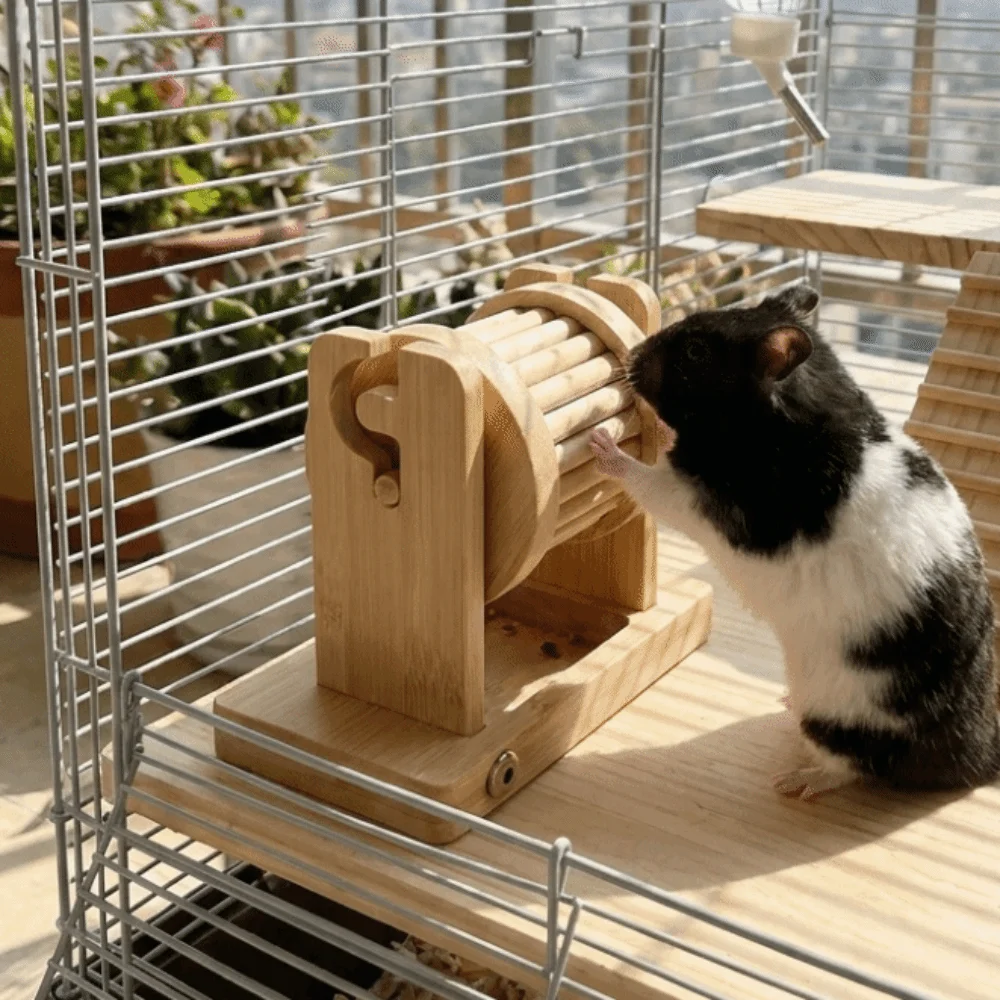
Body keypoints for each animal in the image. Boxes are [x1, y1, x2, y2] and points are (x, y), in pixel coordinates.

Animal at [590, 284, 1000, 800]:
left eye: (696, 352)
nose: (632, 355)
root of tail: (979, 758)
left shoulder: (703, 501)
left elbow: (645, 480)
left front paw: (600, 443)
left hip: (840, 714)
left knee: (854, 767)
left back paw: (794, 782)